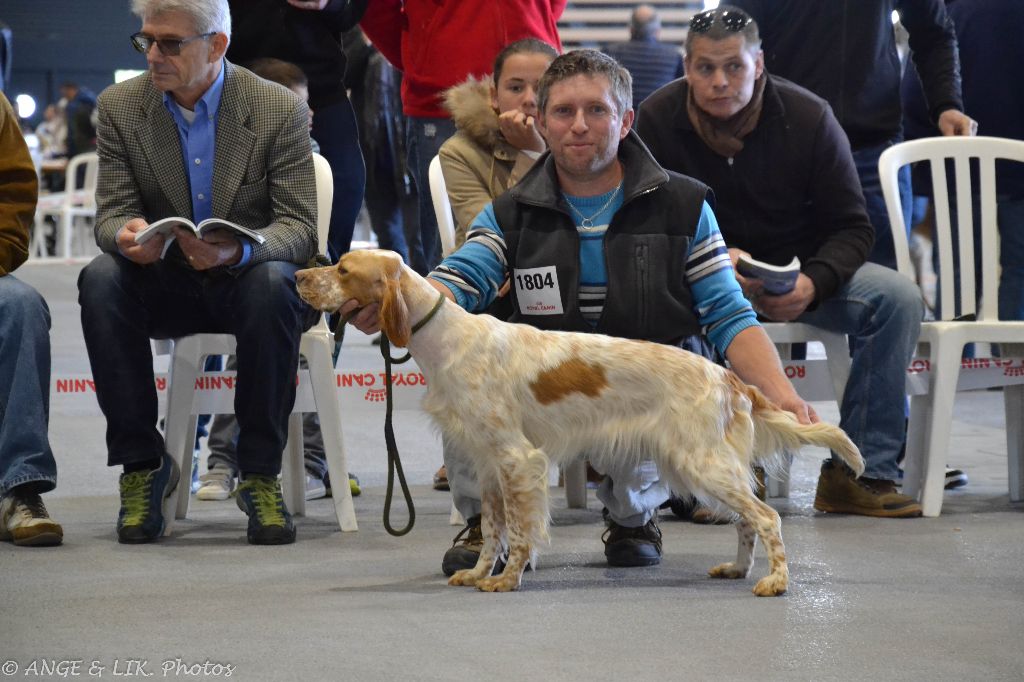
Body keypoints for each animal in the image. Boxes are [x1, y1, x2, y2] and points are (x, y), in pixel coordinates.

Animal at [294, 249, 864, 593]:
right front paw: (478, 573)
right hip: (704, 467)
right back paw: (738, 569)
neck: (447, 339)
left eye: (342, 270)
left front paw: (506, 581)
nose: (299, 275)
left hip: (702, 464)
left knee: (765, 518)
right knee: (748, 520)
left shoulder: (519, 460)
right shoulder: (488, 464)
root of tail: (730, 379)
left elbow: (521, 532)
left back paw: (774, 582)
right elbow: (494, 531)